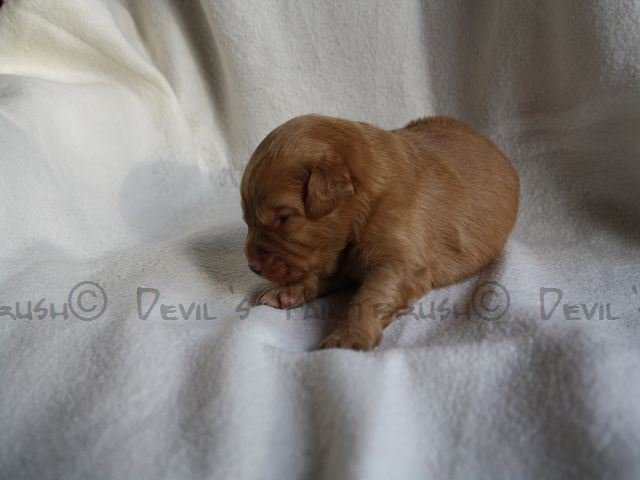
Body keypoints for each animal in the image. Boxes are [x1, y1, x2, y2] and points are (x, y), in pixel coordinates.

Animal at [241, 115, 519, 350]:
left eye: (283, 218)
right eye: (246, 218)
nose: (252, 267)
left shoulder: (401, 260)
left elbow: (371, 296)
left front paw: (347, 338)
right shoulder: (336, 255)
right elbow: (319, 273)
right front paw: (286, 292)